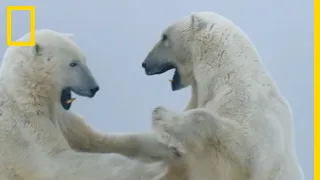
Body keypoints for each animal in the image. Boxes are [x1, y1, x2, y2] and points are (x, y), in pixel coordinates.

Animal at [0, 28, 170, 179]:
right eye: (73, 63)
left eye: (84, 59)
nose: (94, 88)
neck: (23, 93)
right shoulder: (25, 129)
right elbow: (56, 161)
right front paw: (154, 169)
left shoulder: (63, 118)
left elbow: (96, 139)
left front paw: (164, 146)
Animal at [141, 11, 304, 180]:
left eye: (164, 37)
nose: (144, 64)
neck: (227, 77)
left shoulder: (255, 119)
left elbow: (241, 145)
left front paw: (161, 115)